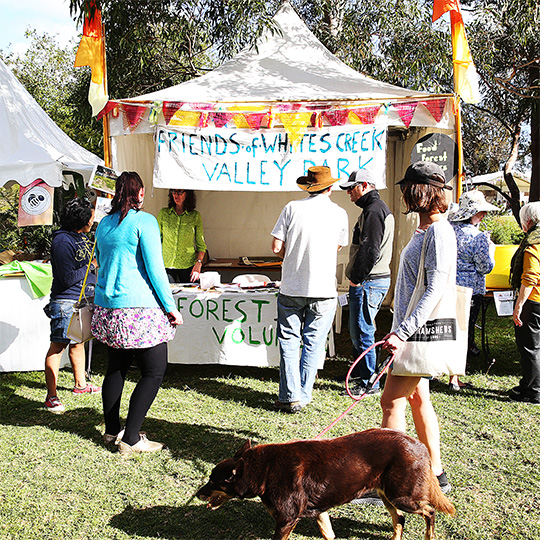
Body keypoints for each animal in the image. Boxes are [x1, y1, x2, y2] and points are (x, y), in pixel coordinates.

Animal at [196, 428, 454, 540]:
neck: (264, 470)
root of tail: (421, 446)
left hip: (403, 496)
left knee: (430, 511)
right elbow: (328, 534)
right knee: (399, 519)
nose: (198, 494)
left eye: (212, 480)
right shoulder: (320, 512)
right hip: (387, 494)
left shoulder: (286, 520)